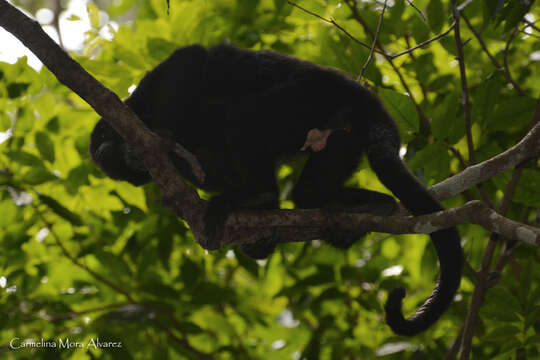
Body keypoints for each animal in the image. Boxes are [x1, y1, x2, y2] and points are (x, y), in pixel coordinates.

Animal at [89, 43, 464, 336]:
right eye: (125, 173)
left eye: (108, 141)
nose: (118, 156)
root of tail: (360, 96)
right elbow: (212, 172)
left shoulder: (153, 87)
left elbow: (190, 60)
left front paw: (165, 134)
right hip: (341, 132)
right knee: (307, 191)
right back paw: (364, 208)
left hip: (303, 98)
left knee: (241, 116)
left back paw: (263, 195)